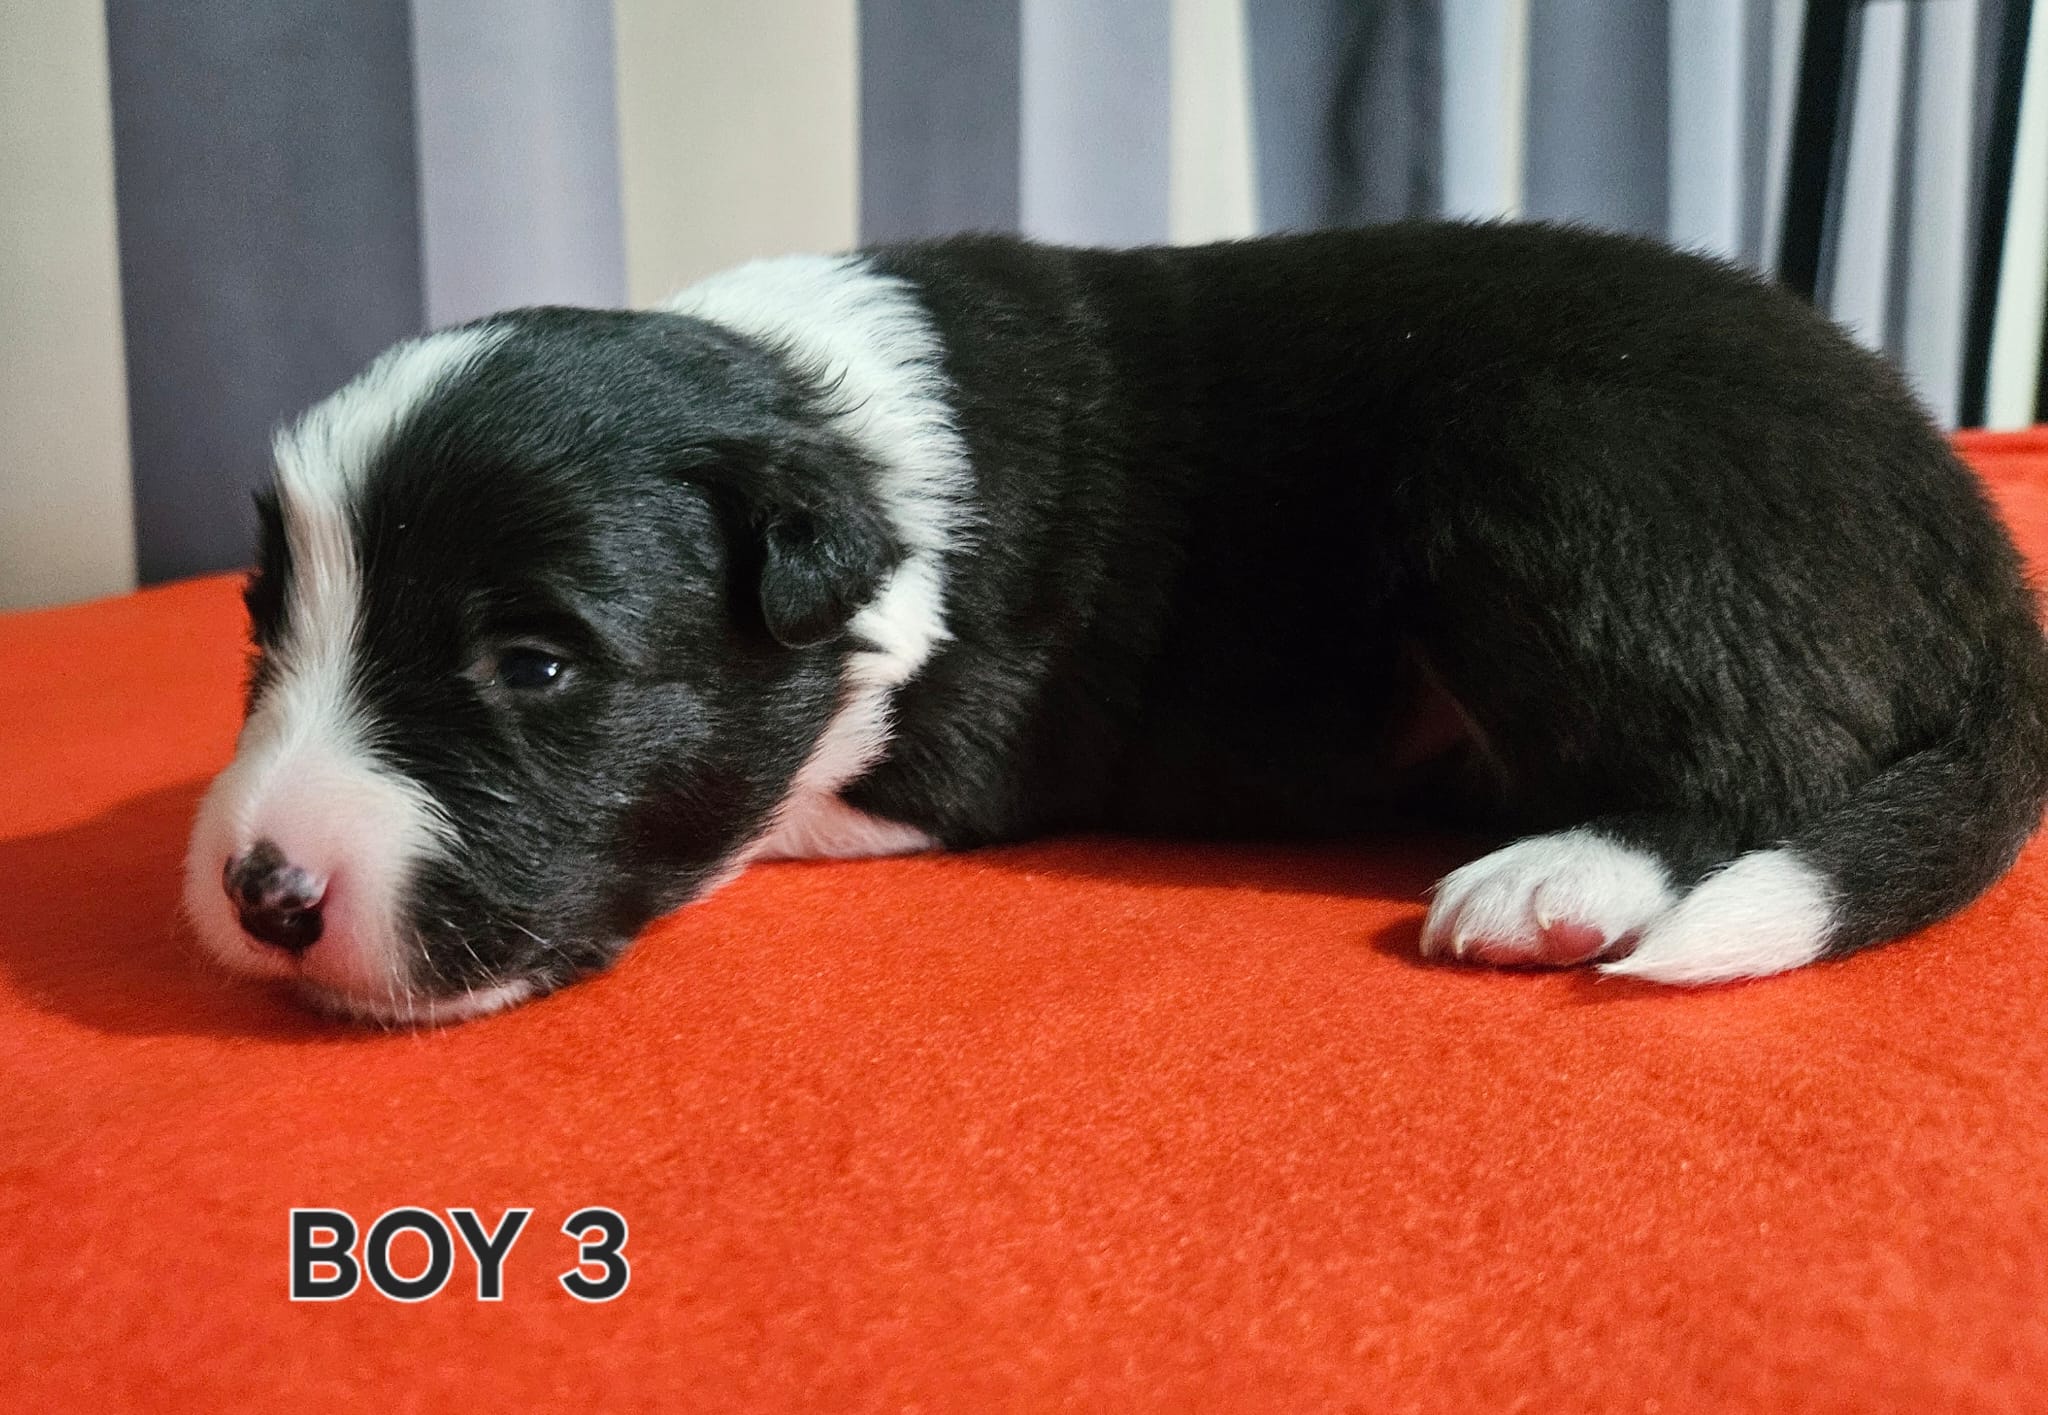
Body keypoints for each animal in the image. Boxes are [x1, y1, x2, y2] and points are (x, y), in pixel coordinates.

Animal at [183, 222, 2048, 1024]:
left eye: (536, 666)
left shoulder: (949, 748)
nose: (263, 892)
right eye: (266, 633)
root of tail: (1973, 539)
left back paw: (1553, 877)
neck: (811, 415)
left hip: (1559, 456)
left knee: (1757, 760)